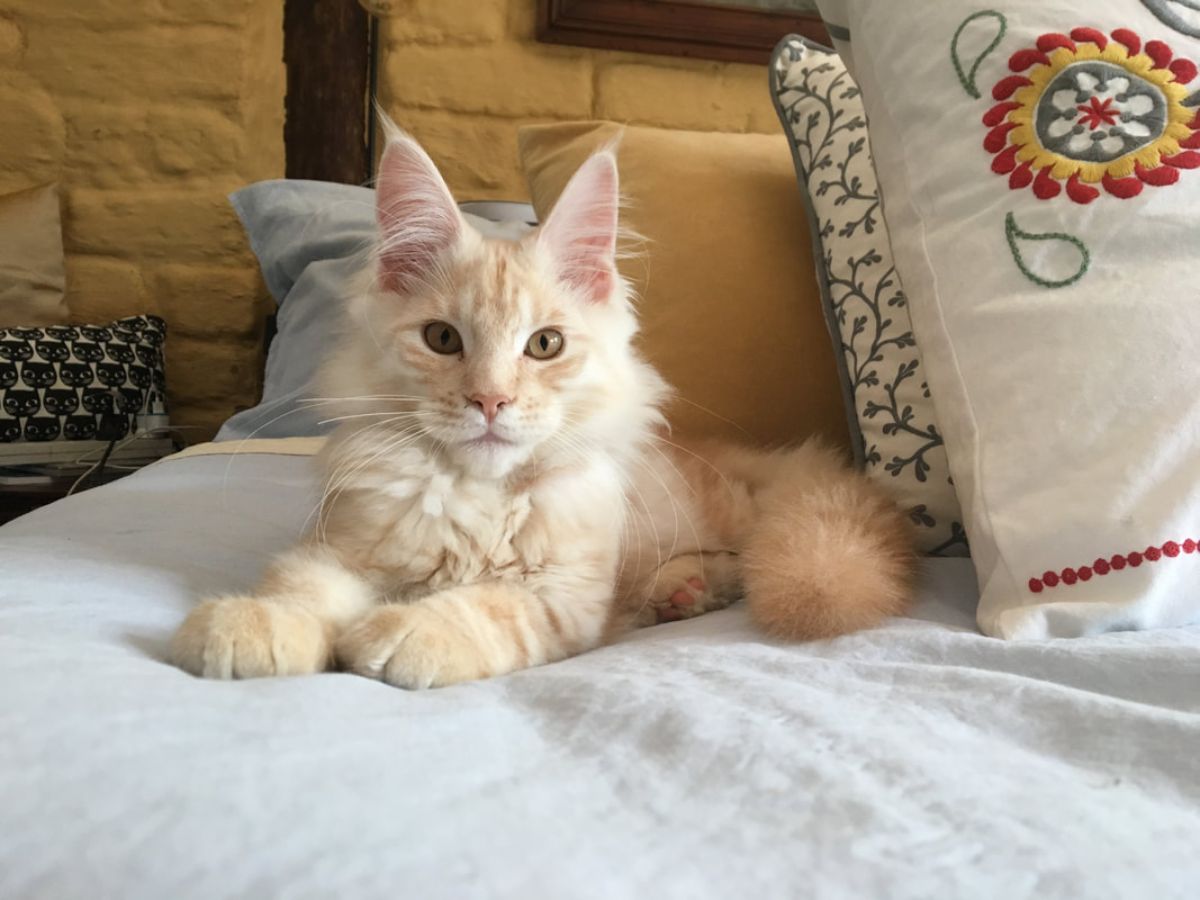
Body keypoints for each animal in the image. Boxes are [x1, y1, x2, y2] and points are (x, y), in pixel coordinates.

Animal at [169, 128, 912, 691]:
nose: (490, 399)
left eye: (544, 345)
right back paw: (677, 592)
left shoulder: (563, 596)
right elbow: (299, 588)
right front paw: (252, 625)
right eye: (443, 340)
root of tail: (757, 459)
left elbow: (486, 607)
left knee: (746, 551)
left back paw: (687, 589)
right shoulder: (340, 548)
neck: (478, 496)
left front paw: (404, 632)